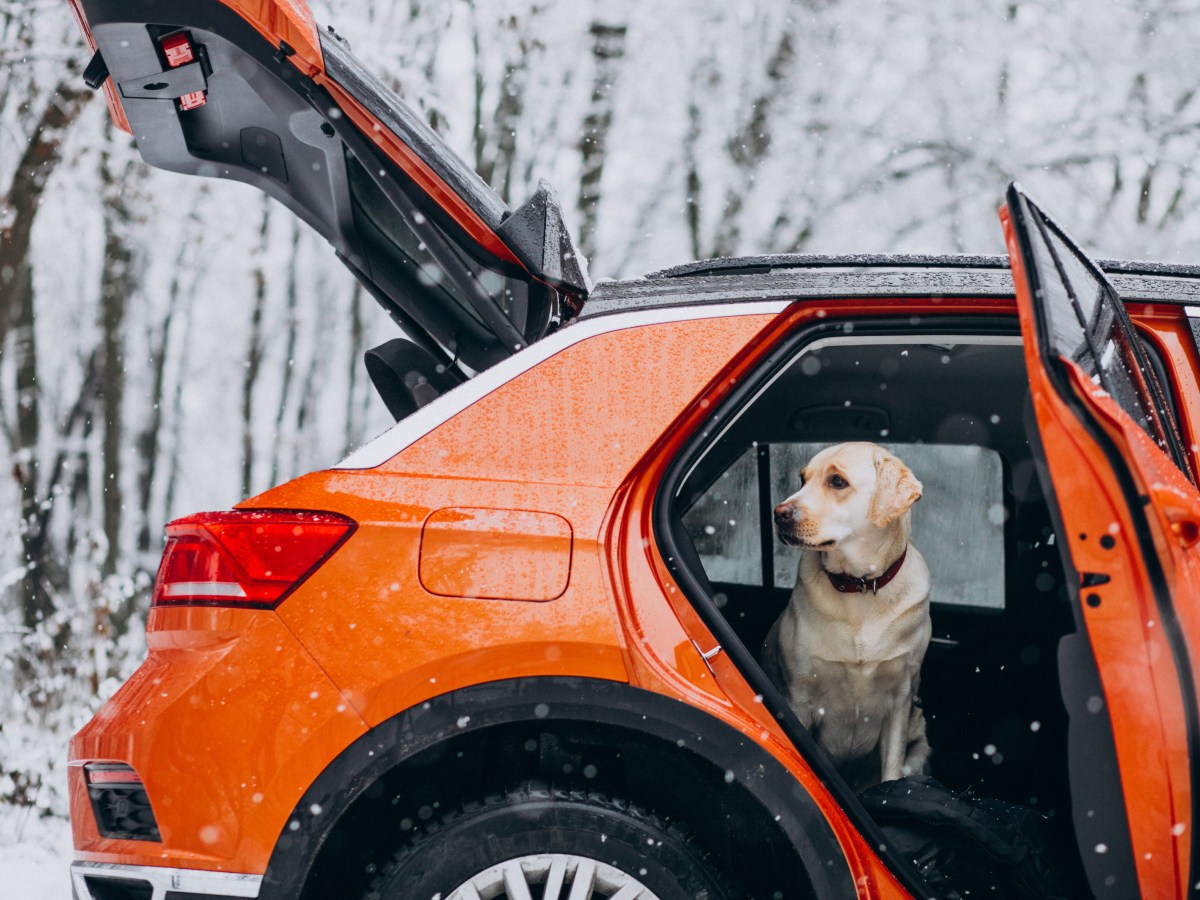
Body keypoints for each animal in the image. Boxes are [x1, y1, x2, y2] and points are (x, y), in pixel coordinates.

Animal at [763, 441, 931, 787]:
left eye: (837, 481)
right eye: (802, 479)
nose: (779, 514)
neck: (860, 587)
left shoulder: (901, 699)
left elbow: (892, 769)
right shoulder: (800, 697)